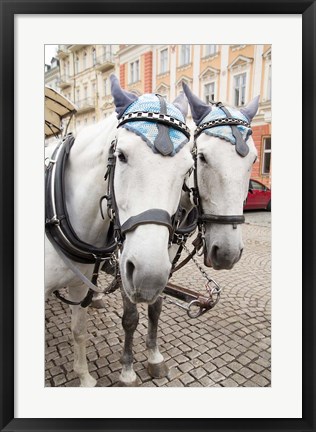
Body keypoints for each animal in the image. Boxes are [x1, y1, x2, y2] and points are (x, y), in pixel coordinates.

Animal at [44, 76, 193, 386]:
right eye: (121, 155)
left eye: (187, 168)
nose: (149, 276)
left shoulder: (80, 284)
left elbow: (79, 330)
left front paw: (85, 378)